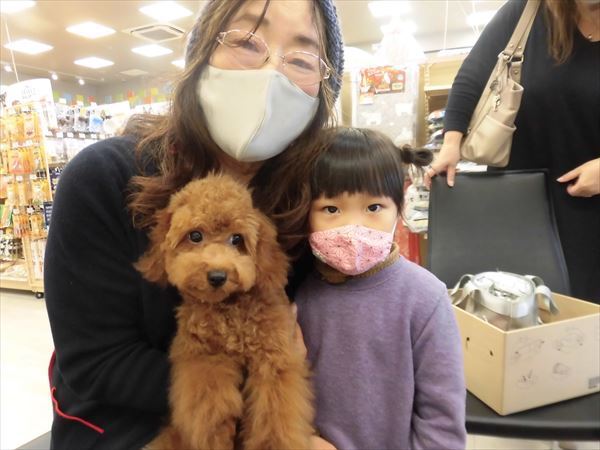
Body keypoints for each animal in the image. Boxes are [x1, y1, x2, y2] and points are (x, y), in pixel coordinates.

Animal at [136, 174, 314, 450]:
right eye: (195, 235)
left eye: (237, 239)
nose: (218, 276)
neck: (230, 309)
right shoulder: (205, 357)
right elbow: (210, 411)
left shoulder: (274, 359)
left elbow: (275, 415)